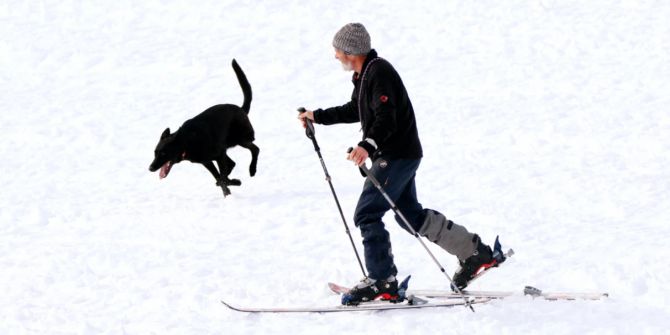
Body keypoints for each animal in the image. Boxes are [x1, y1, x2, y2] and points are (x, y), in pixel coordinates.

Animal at [150, 59, 260, 198]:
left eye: (164, 153)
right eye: (155, 153)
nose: (150, 168)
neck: (186, 141)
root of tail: (241, 109)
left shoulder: (219, 155)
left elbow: (222, 178)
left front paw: (231, 187)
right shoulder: (206, 161)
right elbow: (220, 178)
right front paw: (228, 189)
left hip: (240, 139)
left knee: (255, 149)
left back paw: (252, 170)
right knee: (233, 163)